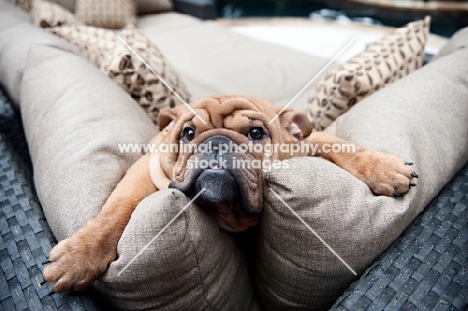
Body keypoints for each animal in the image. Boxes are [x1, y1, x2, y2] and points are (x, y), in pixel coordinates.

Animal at [44, 95, 416, 292]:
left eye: (256, 133)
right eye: (188, 133)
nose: (217, 142)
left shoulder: (313, 141)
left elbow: (340, 146)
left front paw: (383, 167)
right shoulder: (141, 175)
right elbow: (117, 212)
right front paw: (80, 257)